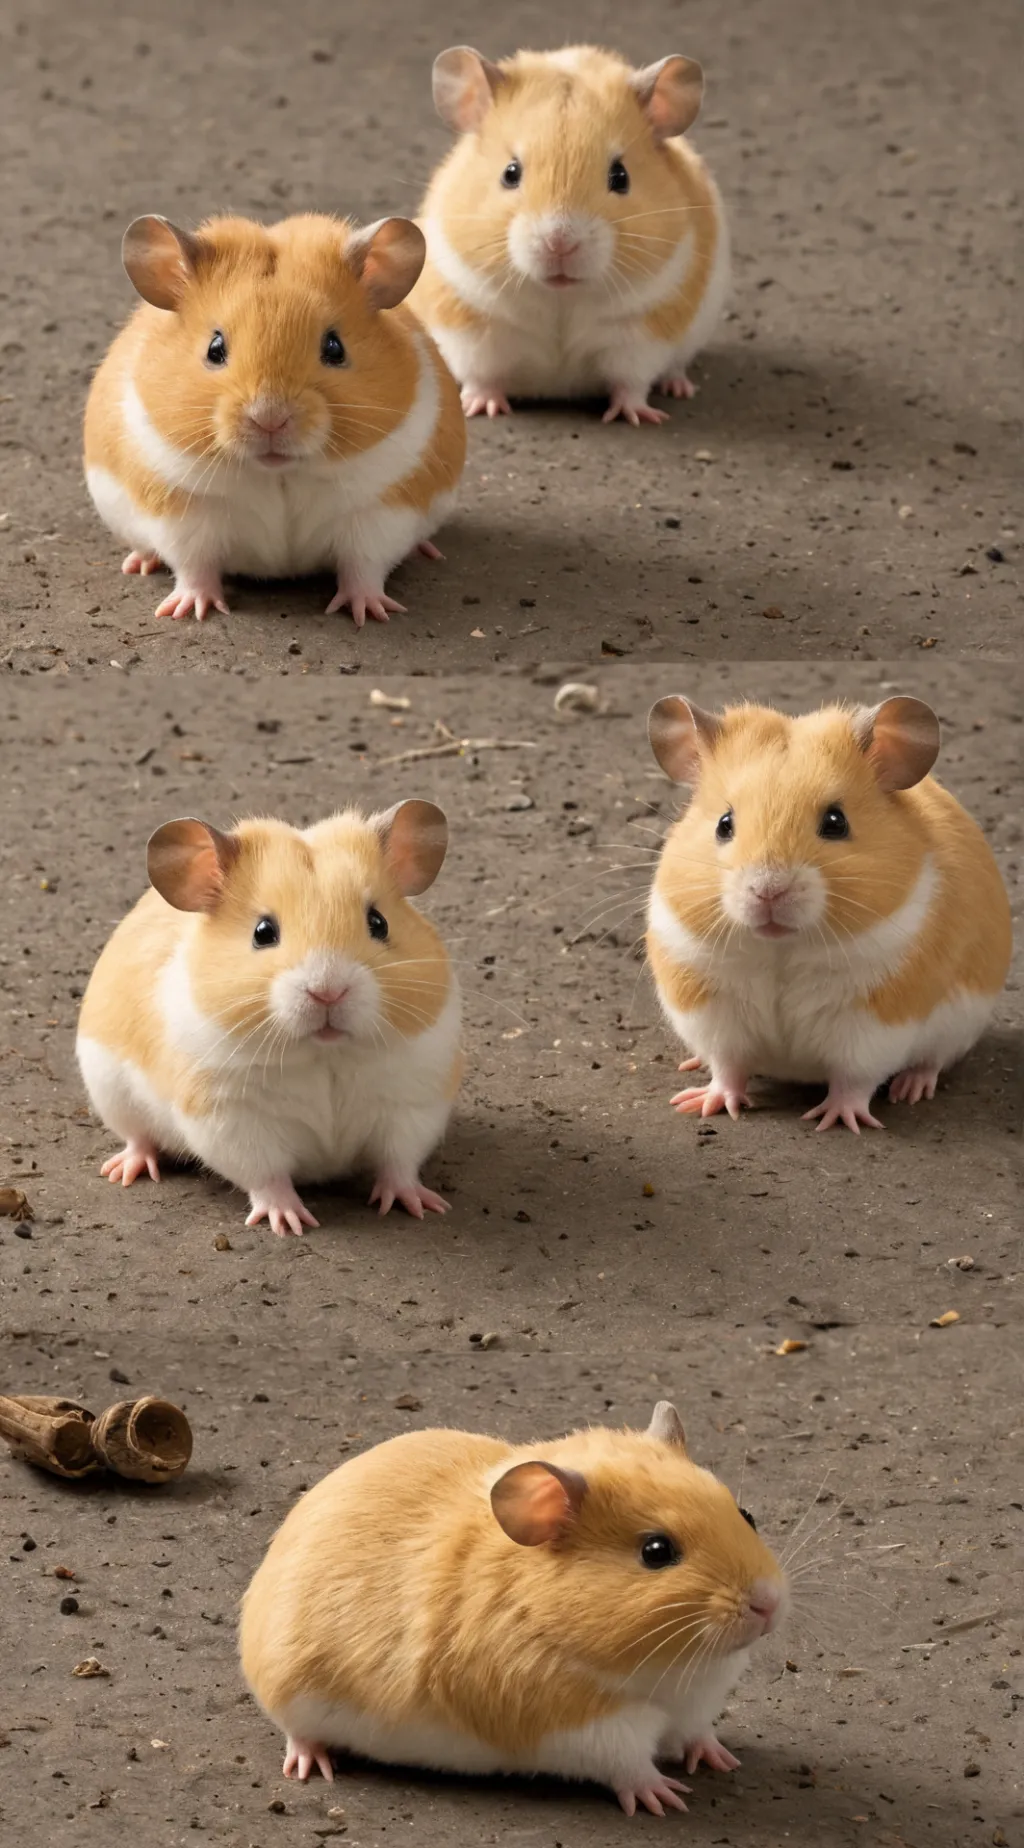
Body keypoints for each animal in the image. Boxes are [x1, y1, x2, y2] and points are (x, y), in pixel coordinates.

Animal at [75, 801, 461, 1233]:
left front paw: (421, 1206)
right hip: (110, 1092)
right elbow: (266, 1176)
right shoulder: (231, 1119)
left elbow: (399, 1163)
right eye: (263, 932)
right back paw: (125, 1170)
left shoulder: (413, 1102)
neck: (324, 1053)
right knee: (138, 1138)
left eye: (379, 923)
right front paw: (290, 1222)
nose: (328, 991)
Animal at [83, 211, 466, 626]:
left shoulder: (379, 515)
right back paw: (139, 563)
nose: (269, 419)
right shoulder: (183, 514)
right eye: (215, 348)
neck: (278, 473)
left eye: (335, 347)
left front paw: (370, 614)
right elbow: (193, 566)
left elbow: (363, 568)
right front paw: (190, 611)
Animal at [239, 1401, 787, 1817]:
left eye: (746, 1515)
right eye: (656, 1552)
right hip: (290, 1694)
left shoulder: (697, 1705)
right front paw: (663, 1796)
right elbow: (628, 1766)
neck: (671, 1669)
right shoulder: (580, 1726)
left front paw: (719, 1758)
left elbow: (698, 1734)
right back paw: (311, 1763)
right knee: (297, 1734)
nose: (769, 1606)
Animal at [411, 44, 729, 425]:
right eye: (510, 173)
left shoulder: (641, 334)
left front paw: (638, 416)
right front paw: (481, 408)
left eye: (620, 177)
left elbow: (631, 382)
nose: (559, 243)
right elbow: (481, 375)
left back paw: (678, 387)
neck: (560, 297)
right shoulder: (471, 327)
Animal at [646, 694, 1013, 1132]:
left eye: (836, 822)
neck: (780, 950)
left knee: (931, 1061)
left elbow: (854, 1080)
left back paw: (912, 1088)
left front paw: (838, 1120)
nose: (768, 890)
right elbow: (727, 1067)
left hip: (958, 1026)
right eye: (724, 824)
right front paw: (702, 1104)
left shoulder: (876, 1026)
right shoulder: (713, 1014)